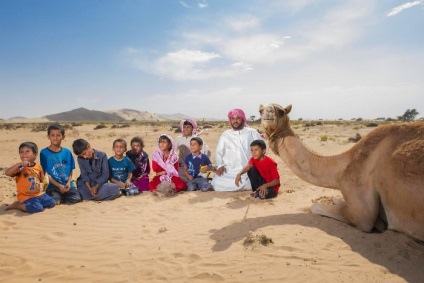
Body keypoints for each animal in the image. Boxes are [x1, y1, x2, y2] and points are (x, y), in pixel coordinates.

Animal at [260, 102, 422, 242]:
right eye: (260, 110)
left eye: (281, 111)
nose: (267, 112)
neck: (343, 167)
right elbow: (336, 198)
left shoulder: (362, 214)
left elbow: (314, 206)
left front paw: (380, 224)